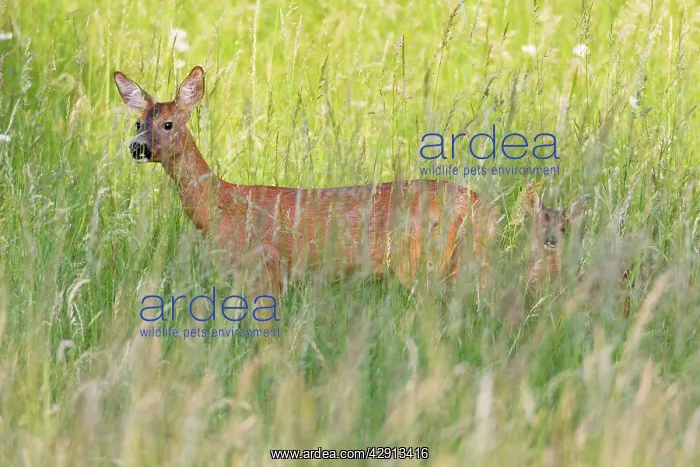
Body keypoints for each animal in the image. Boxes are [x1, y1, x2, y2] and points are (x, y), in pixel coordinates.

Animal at [114, 66, 499, 299]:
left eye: (168, 124)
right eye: (138, 123)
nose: (137, 147)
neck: (221, 207)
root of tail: (484, 208)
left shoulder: (265, 268)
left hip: (422, 261)